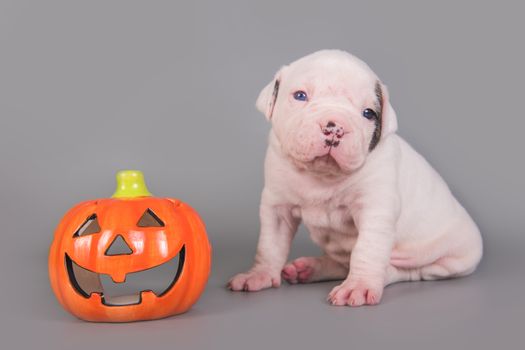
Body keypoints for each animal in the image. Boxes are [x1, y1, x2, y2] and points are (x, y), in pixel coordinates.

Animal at [227, 49, 482, 306]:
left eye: (368, 113)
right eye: (300, 96)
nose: (334, 127)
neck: (322, 175)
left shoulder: (375, 211)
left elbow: (366, 250)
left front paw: (358, 286)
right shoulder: (277, 206)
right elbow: (270, 244)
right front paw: (259, 275)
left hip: (451, 259)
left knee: (406, 271)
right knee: (342, 263)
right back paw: (309, 269)